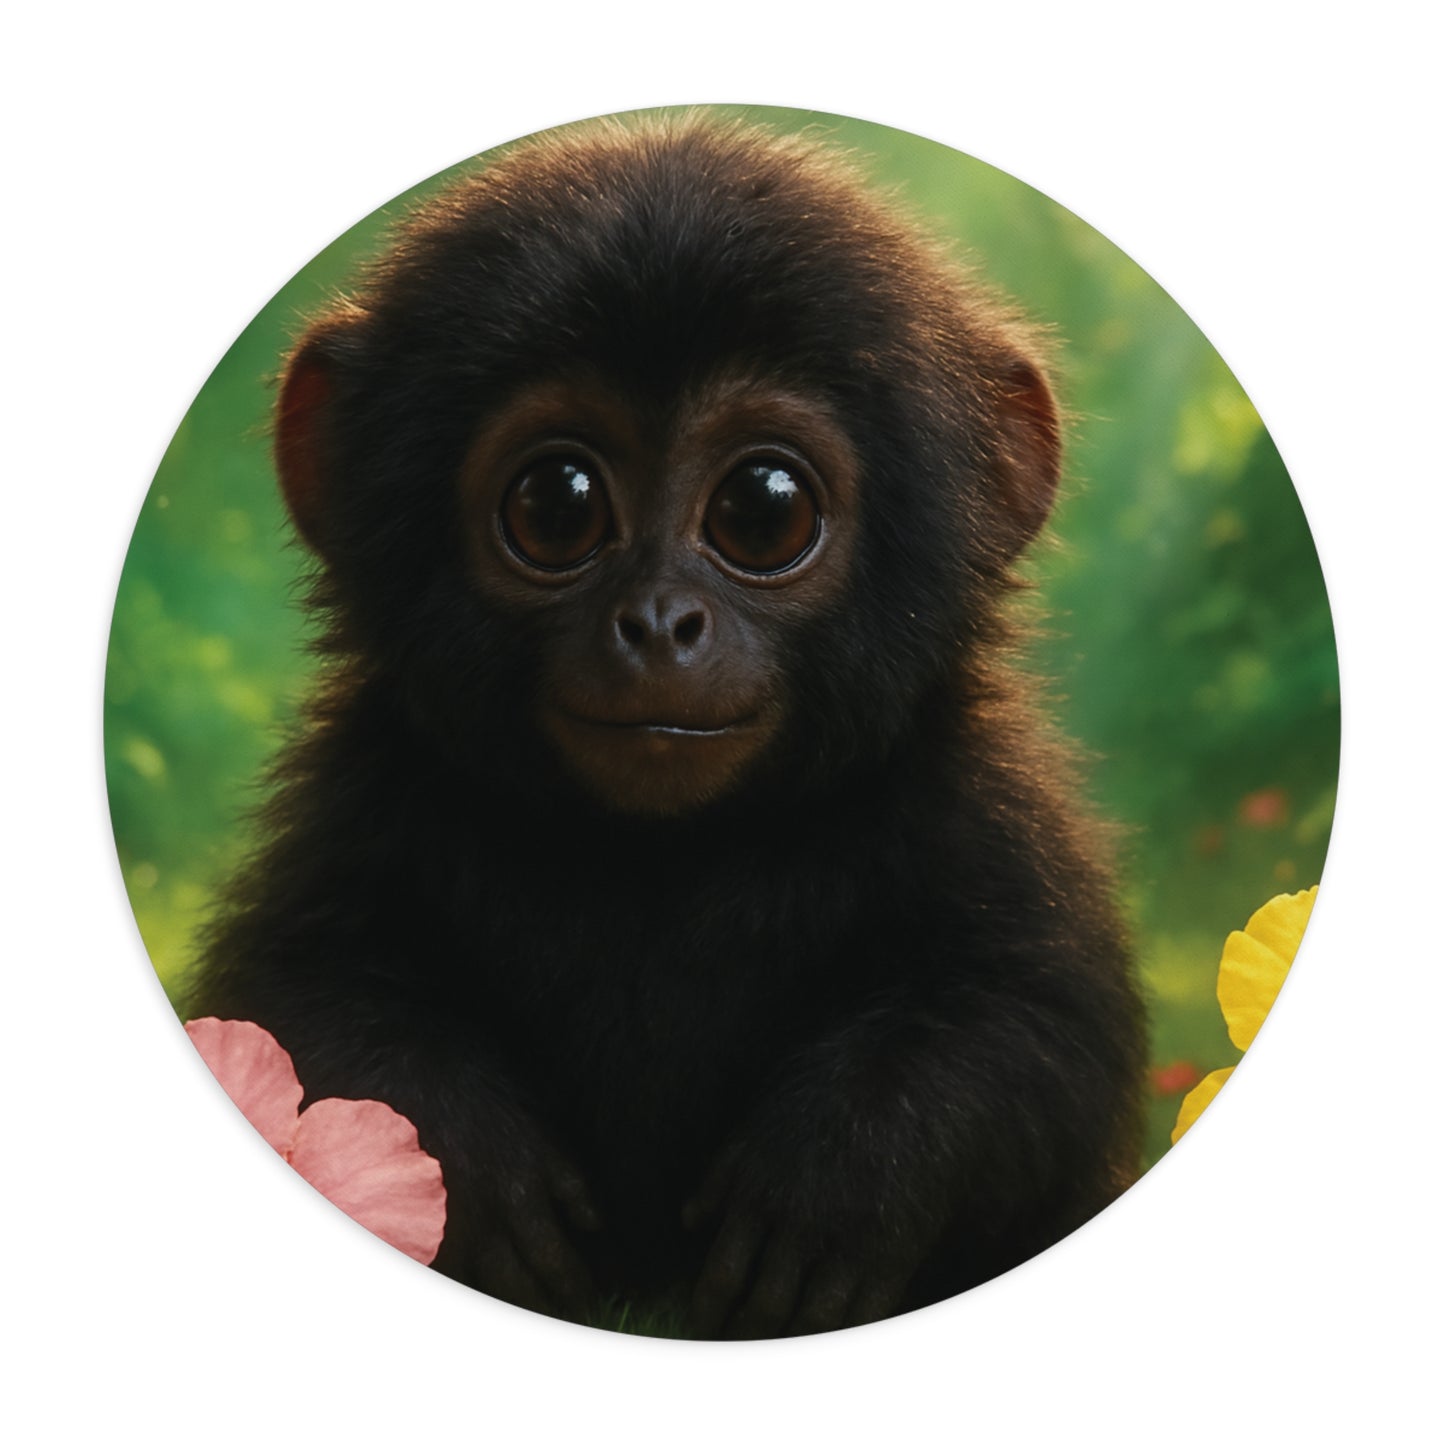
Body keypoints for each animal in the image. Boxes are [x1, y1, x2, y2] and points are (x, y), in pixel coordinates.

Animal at [188, 115, 1147, 1338]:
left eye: (762, 508)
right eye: (555, 503)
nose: (658, 621)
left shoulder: (979, 804)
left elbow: (1040, 1037)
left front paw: (848, 1165)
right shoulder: (363, 792)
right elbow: (302, 997)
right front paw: (470, 1161)